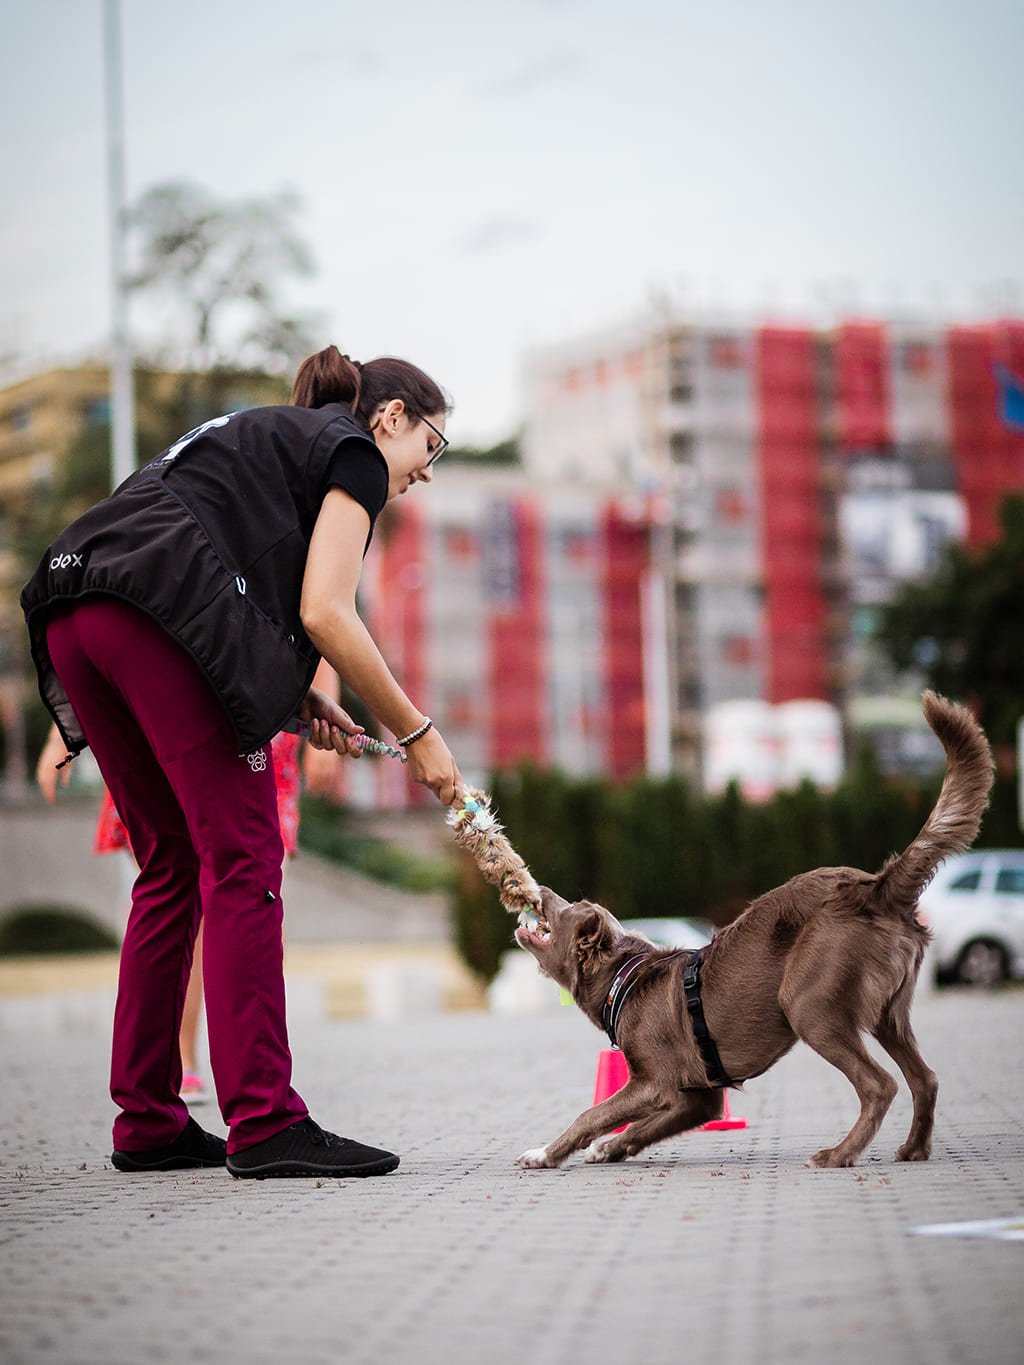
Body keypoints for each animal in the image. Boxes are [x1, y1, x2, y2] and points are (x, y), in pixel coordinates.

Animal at [516, 693, 999, 1173]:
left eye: (568, 910)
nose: (540, 890)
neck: (624, 977)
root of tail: (878, 887)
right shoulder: (701, 1098)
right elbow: (640, 1127)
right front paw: (609, 1148)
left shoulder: (655, 1083)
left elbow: (591, 1113)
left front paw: (545, 1153)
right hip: (889, 1012)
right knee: (925, 1078)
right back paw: (914, 1148)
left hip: (810, 1005)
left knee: (880, 1085)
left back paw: (839, 1154)